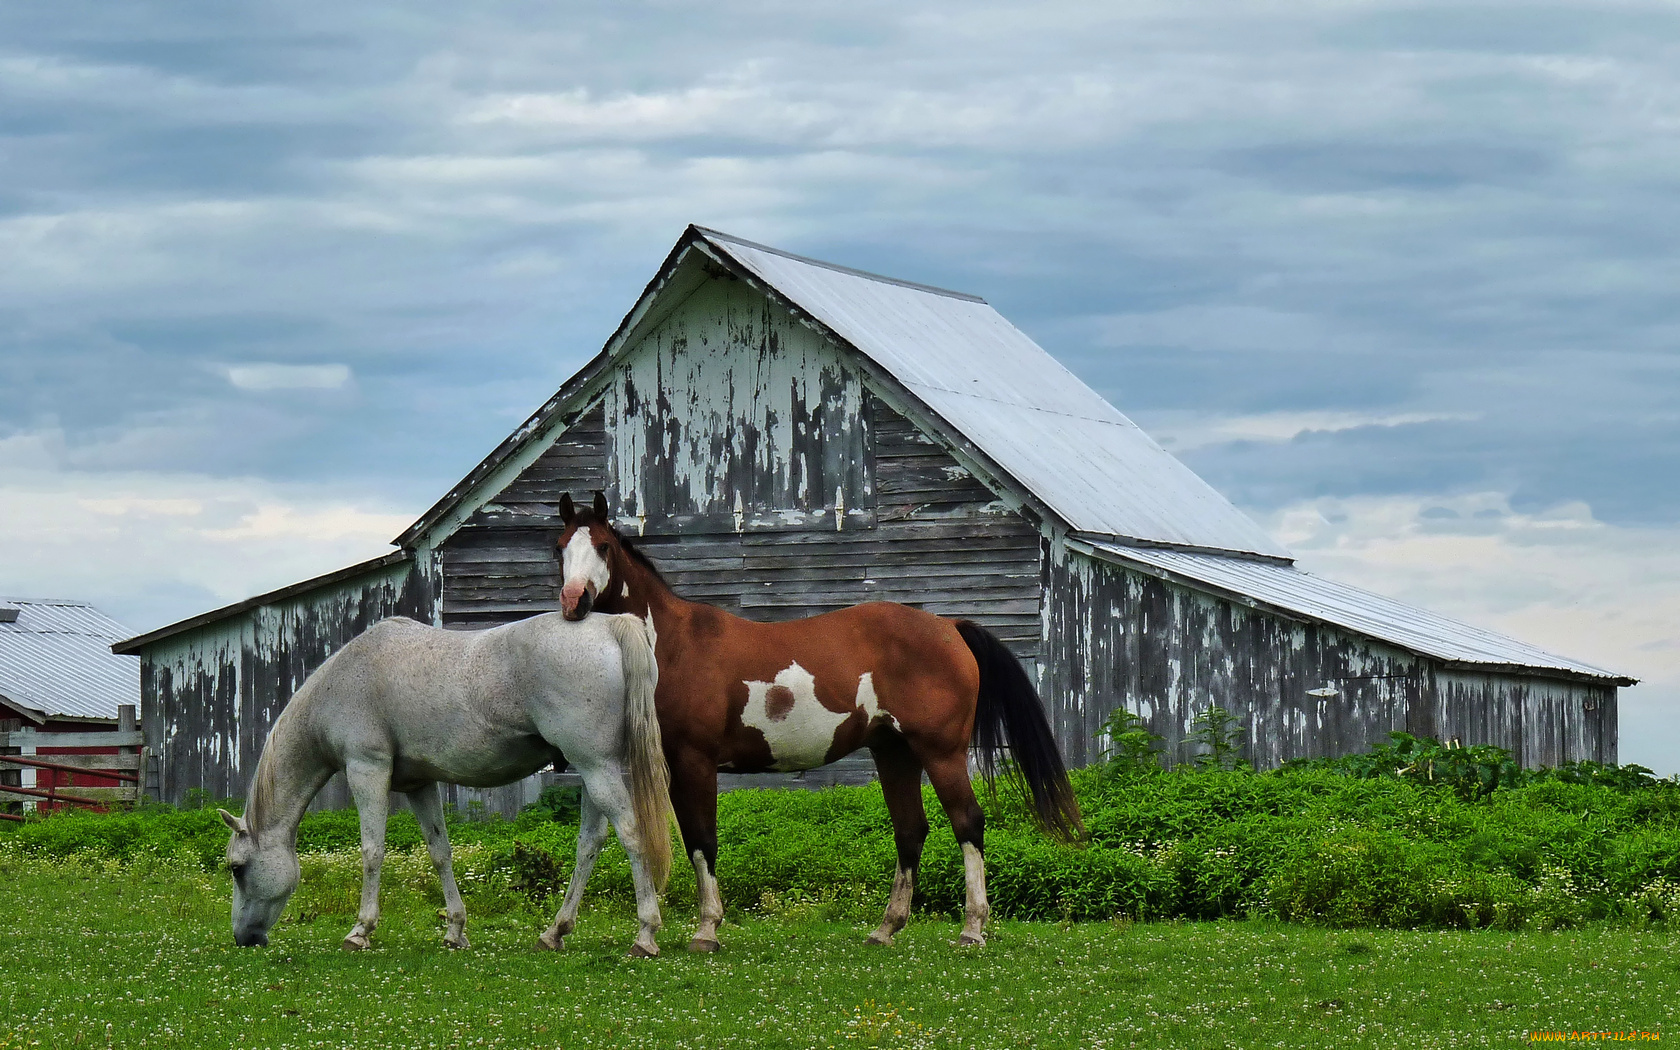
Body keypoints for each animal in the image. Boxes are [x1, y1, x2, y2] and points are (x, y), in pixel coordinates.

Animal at [216, 611, 675, 954]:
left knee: (631, 835)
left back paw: (645, 935)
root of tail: (610, 625)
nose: (243, 938)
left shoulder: (367, 768)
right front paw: (455, 930)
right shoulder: (419, 785)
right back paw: (555, 932)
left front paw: (360, 931)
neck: (344, 680)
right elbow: (440, 853)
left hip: (596, 767)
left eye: (237, 868)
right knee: (590, 844)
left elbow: (372, 851)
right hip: (594, 769)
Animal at [551, 490, 1075, 947]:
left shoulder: (694, 762)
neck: (673, 645)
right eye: (559, 547)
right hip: (894, 753)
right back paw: (886, 929)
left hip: (941, 754)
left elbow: (703, 840)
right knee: (910, 831)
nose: (574, 601)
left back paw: (972, 928)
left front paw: (706, 930)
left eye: (601, 546)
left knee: (968, 823)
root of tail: (949, 627)